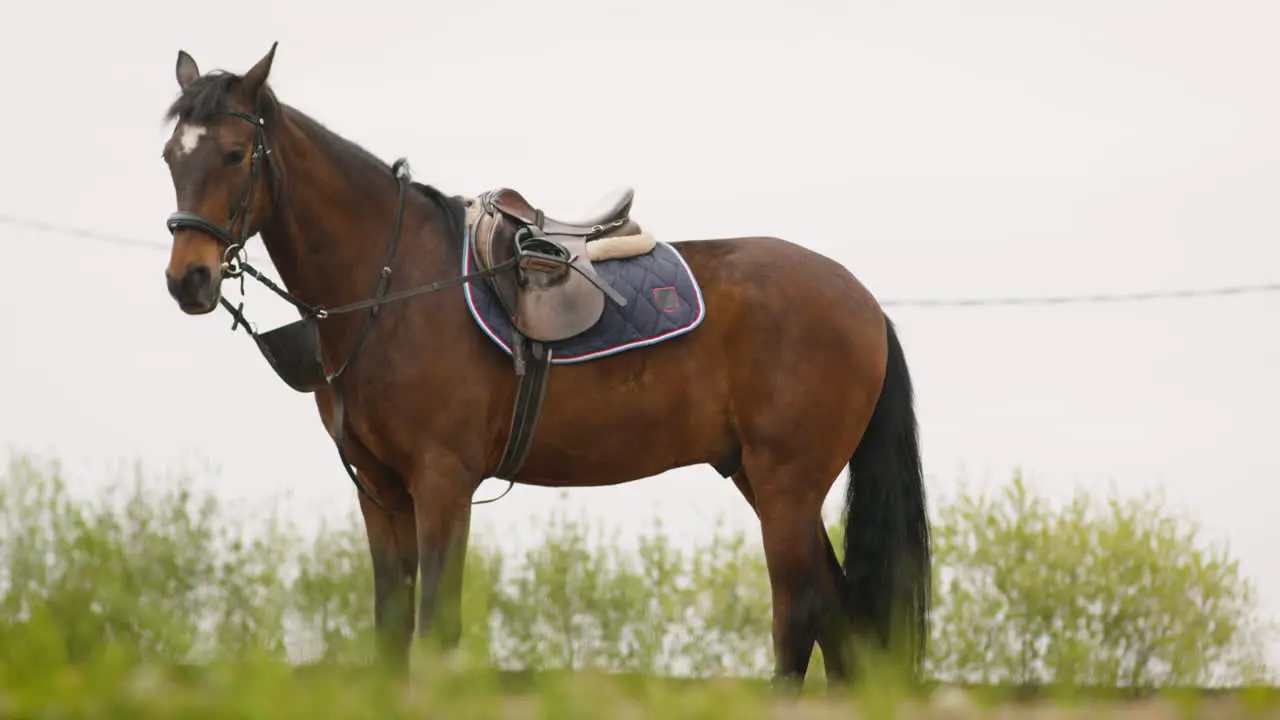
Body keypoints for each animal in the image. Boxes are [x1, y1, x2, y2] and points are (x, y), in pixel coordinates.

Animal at [162, 40, 931, 691]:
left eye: (234, 153)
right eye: (171, 156)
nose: (187, 280)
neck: (398, 286)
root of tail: (862, 302)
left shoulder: (442, 482)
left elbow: (436, 629)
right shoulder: (380, 493)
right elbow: (390, 633)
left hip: (786, 485)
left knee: (799, 617)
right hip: (760, 478)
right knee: (839, 620)